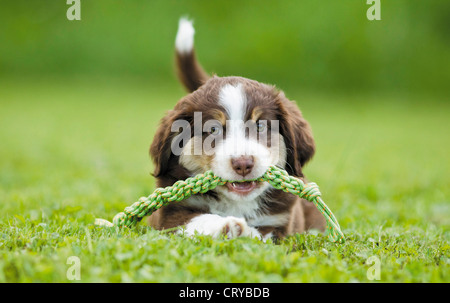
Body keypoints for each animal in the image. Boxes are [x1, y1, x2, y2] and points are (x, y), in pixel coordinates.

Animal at [148, 18, 324, 242]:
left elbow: (265, 235)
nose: (243, 164)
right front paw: (230, 227)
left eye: (260, 126)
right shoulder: (169, 214)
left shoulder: (281, 221)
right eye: (213, 130)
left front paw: (246, 232)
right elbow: (196, 220)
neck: (237, 202)